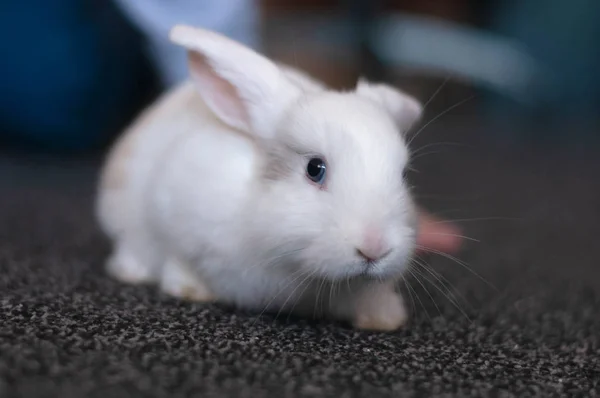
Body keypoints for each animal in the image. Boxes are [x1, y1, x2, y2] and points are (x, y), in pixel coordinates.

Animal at [96, 23, 422, 332]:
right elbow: (180, 262)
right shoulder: (172, 220)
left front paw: (383, 318)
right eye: (314, 169)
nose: (375, 248)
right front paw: (190, 290)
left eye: (403, 175)